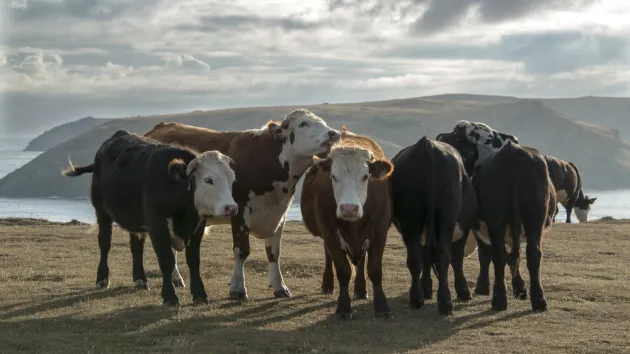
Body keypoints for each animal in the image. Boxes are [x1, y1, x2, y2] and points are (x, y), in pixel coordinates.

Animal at [62, 130, 239, 306]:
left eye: (232, 179)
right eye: (208, 180)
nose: (231, 207)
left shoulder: (197, 227)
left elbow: (194, 261)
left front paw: (199, 294)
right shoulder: (157, 226)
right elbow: (166, 261)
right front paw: (170, 297)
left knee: (136, 247)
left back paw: (140, 279)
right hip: (101, 212)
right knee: (105, 243)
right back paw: (102, 279)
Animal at [302, 129, 396, 318]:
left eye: (365, 176)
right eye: (333, 176)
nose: (349, 209)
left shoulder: (380, 232)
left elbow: (374, 270)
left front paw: (382, 306)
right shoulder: (330, 232)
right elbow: (343, 270)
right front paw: (343, 308)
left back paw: (360, 289)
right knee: (328, 256)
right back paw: (327, 285)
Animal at [390, 136, 478, 316]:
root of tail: (427, 145)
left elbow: (426, 257)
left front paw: (426, 289)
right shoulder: (462, 228)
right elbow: (456, 259)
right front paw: (463, 291)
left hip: (411, 220)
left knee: (416, 257)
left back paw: (417, 298)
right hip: (446, 218)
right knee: (443, 254)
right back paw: (445, 302)